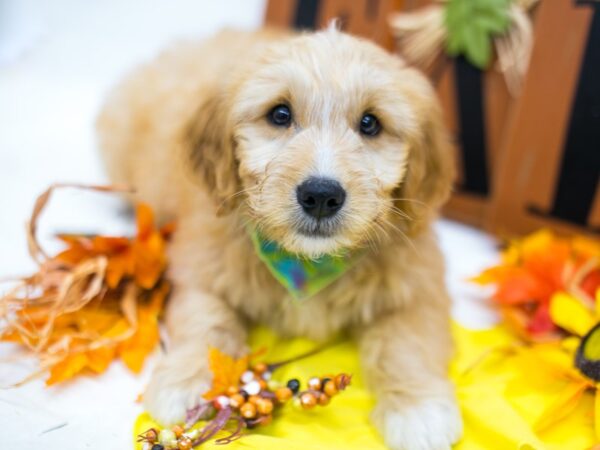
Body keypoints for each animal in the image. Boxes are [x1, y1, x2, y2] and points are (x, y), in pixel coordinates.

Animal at [98, 25, 462, 450]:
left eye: (371, 124)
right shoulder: (201, 263)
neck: (308, 262)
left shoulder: (419, 284)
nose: (321, 195)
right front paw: (186, 380)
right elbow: (206, 321)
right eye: (280, 114)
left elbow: (408, 342)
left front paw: (418, 410)